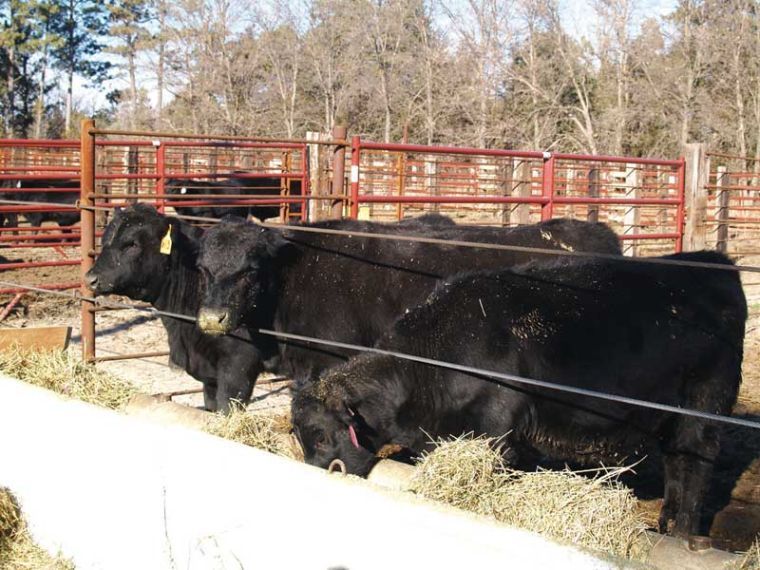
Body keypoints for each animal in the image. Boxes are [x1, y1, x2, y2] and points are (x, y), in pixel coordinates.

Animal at [291, 250, 747, 538]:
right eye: (300, 438)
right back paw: (666, 525)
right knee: (676, 464)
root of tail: (713, 262)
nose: (314, 475)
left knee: (695, 467)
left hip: (704, 409)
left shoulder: (494, 434)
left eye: (321, 436)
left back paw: (684, 533)